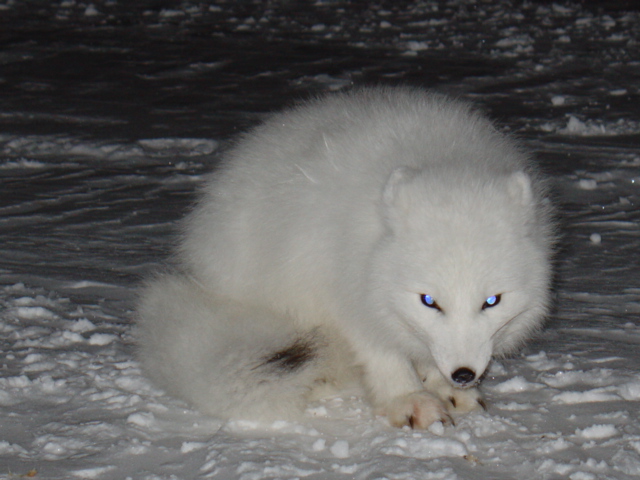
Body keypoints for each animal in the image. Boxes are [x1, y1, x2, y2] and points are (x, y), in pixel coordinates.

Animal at [136, 86, 556, 428]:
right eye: (428, 301)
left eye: (492, 301)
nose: (465, 374)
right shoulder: (345, 289)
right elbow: (382, 353)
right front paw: (408, 398)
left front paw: (443, 387)